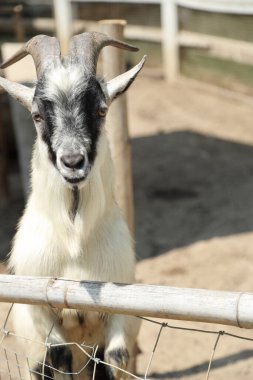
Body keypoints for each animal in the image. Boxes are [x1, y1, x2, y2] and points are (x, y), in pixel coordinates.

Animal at [0, 33, 145, 380]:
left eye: (102, 110)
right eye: (37, 115)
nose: (73, 161)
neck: (74, 242)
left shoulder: (122, 313)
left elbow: (115, 359)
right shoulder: (41, 315)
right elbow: (59, 356)